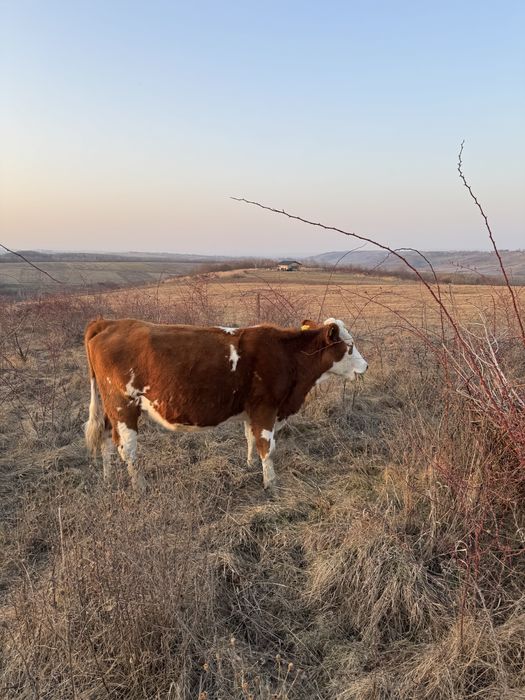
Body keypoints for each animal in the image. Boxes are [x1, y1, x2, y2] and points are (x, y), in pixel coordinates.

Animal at [84, 317, 368, 492]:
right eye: (350, 346)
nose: (366, 366)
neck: (287, 356)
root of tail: (109, 323)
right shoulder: (266, 407)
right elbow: (267, 446)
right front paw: (271, 483)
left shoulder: (251, 410)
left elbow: (250, 438)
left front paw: (250, 466)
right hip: (124, 406)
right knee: (127, 449)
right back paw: (140, 487)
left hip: (111, 409)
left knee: (106, 438)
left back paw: (108, 479)